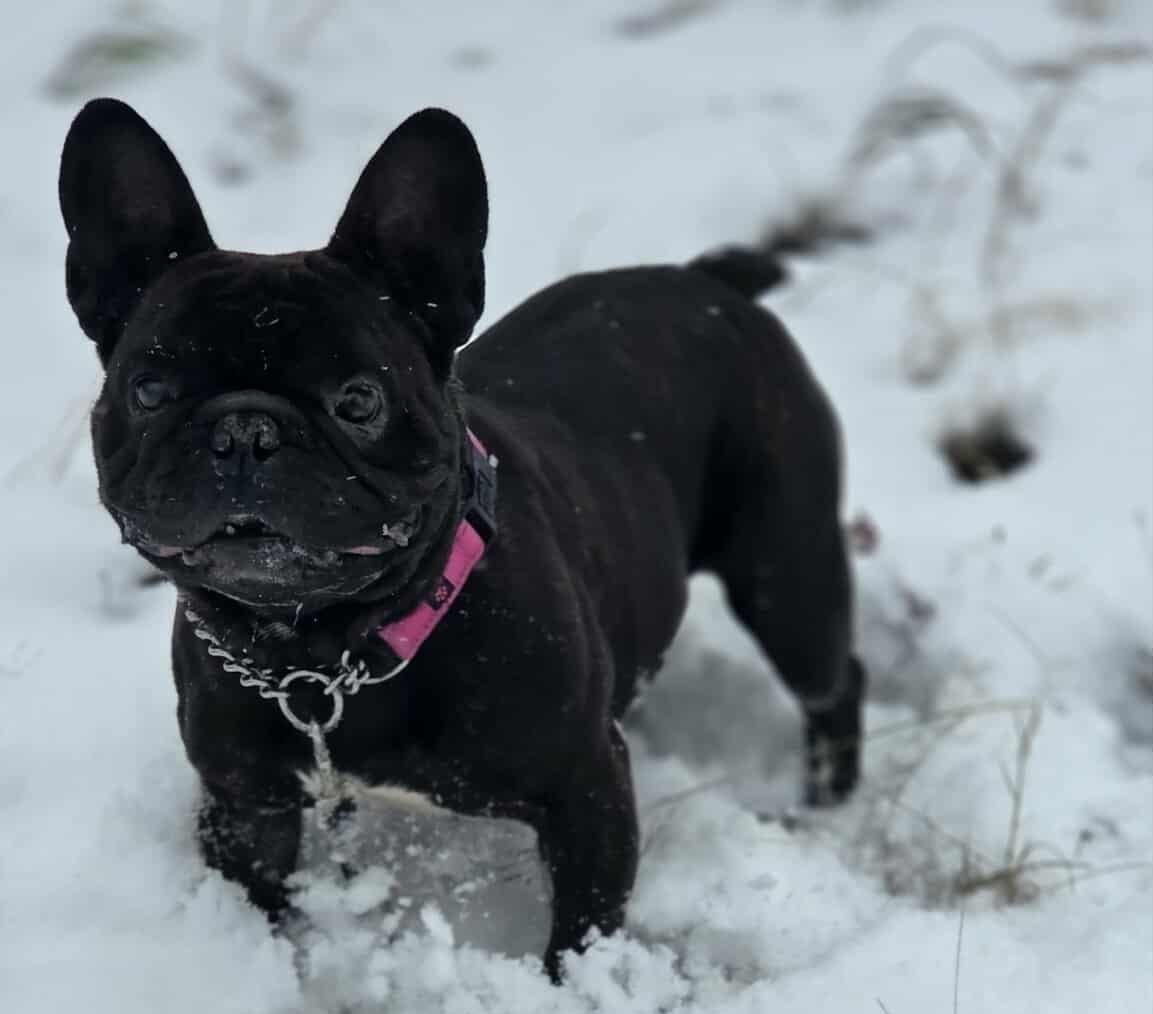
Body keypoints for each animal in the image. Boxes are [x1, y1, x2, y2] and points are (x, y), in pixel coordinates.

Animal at [59, 98, 865, 978]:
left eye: (358, 400)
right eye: (149, 390)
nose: (245, 430)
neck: (324, 651)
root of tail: (705, 280)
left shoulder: (586, 787)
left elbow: (582, 930)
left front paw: (569, 985)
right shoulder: (246, 809)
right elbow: (259, 908)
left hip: (785, 574)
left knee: (833, 680)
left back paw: (827, 810)